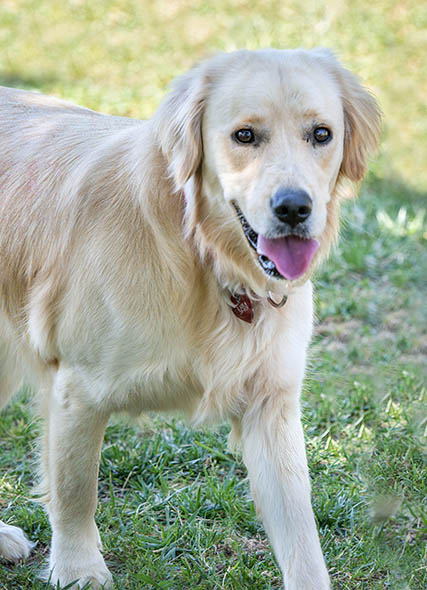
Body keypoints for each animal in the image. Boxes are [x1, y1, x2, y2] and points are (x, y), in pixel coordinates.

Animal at [0, 48, 382, 588]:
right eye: (245, 135)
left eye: (321, 134)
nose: (294, 208)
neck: (205, 257)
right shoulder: (77, 390)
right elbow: (76, 491)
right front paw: (78, 570)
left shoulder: (271, 405)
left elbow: (302, 533)